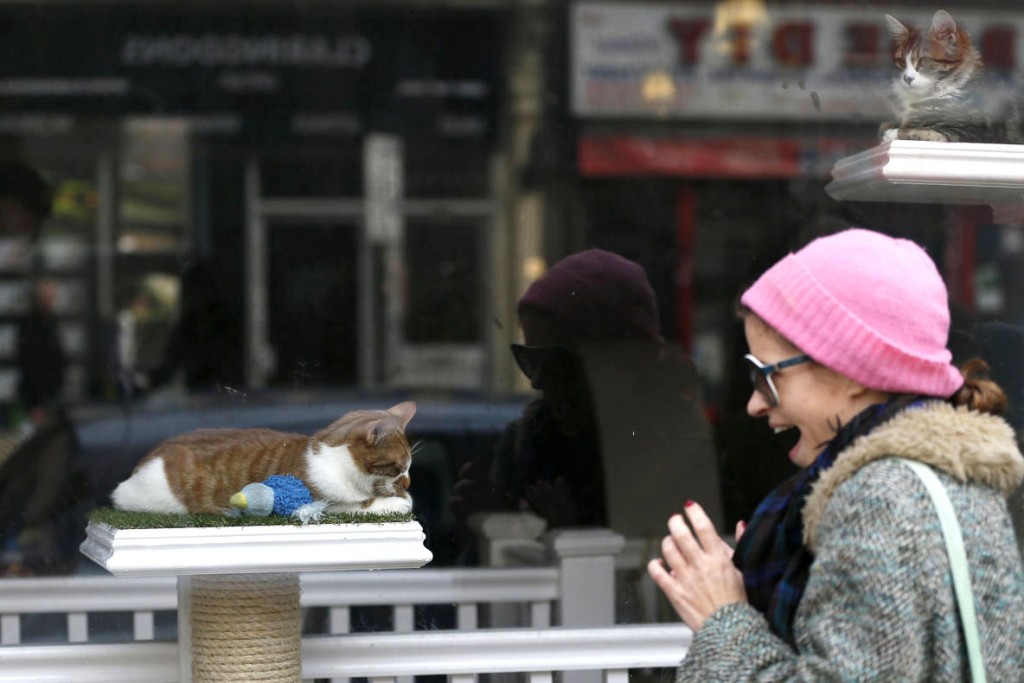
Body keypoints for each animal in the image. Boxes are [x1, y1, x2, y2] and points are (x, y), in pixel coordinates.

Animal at [112, 397, 415, 516]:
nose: (408, 482)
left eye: (409, 468)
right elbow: (364, 505)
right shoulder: (321, 504)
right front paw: (400, 502)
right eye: (398, 467)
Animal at [880, 7, 1024, 144]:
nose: (907, 78)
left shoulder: (974, 133)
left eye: (924, 61)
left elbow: (925, 132)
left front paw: (891, 133)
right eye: (902, 63)